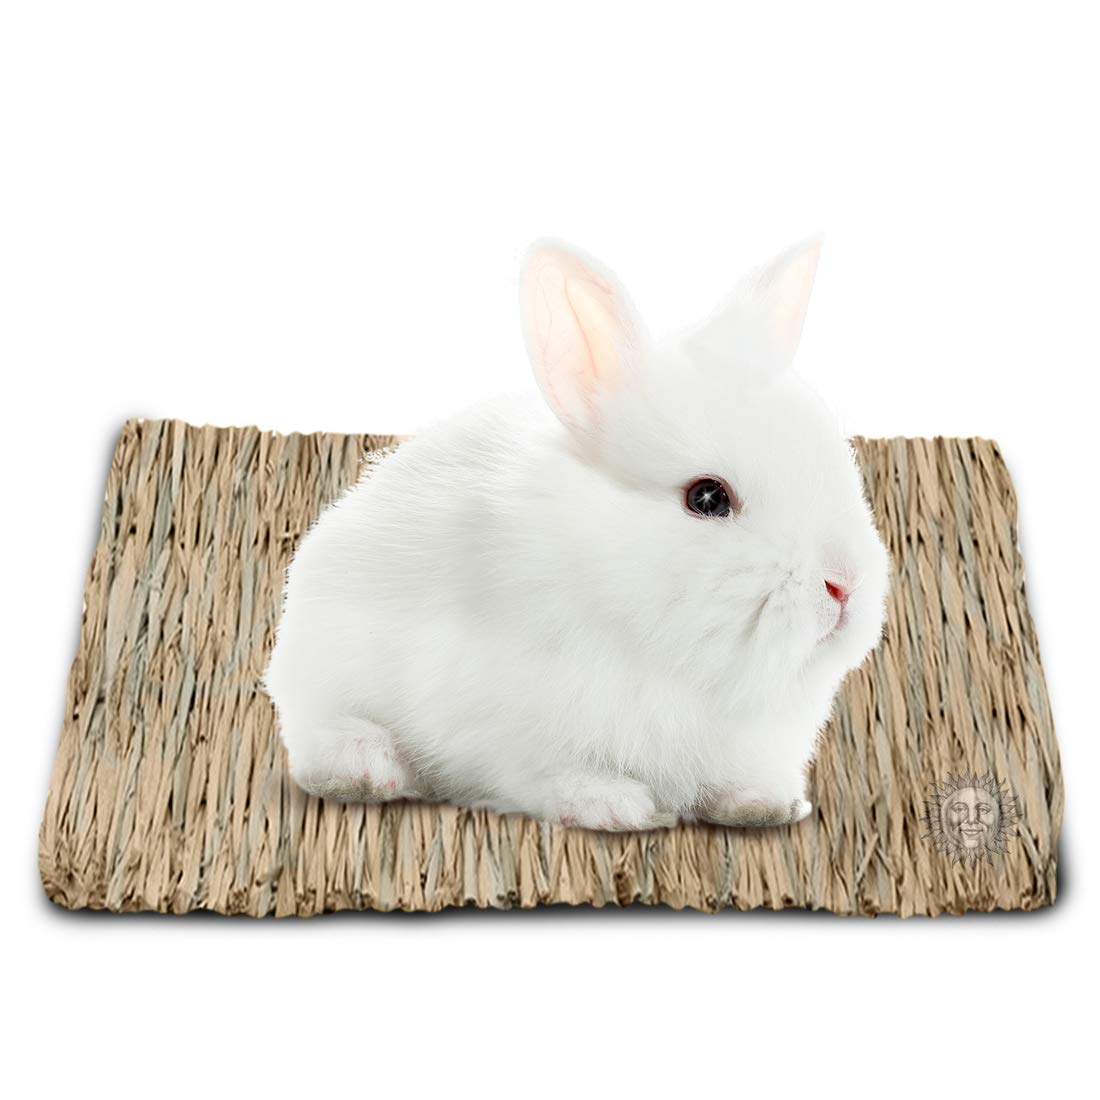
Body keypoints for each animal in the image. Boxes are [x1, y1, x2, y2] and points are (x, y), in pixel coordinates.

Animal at [263, 236, 890, 831]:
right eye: (708, 498)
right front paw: (614, 806)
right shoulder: (511, 730)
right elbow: (553, 776)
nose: (844, 585)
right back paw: (367, 766)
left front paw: (764, 806)